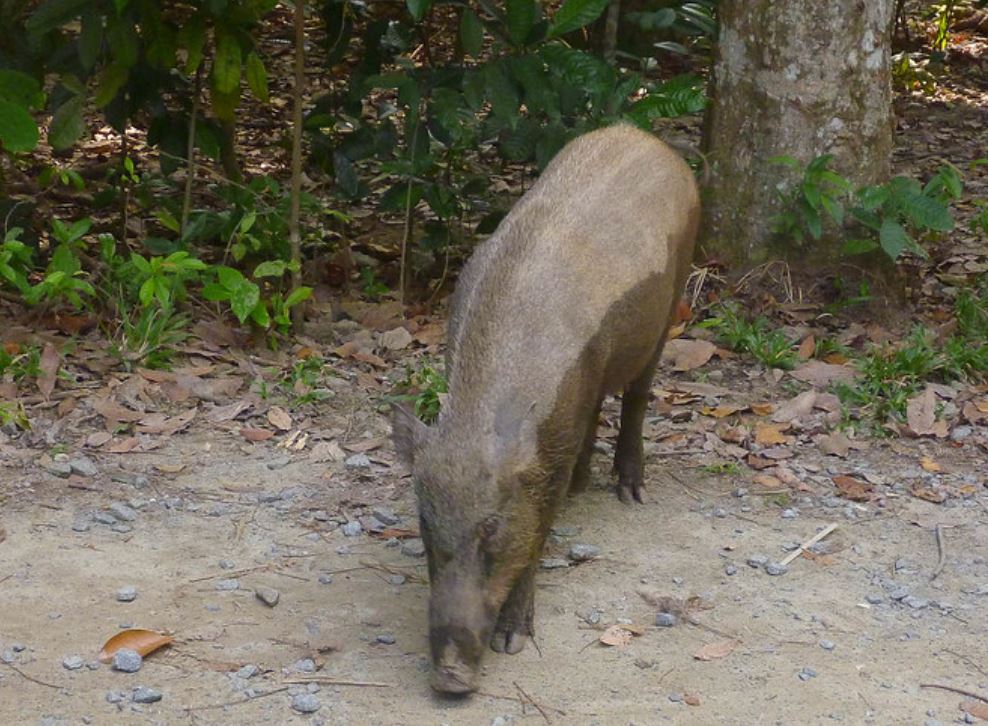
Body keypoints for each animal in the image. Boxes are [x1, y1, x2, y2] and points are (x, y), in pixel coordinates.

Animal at [392, 124, 700, 694]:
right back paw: (585, 485)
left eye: (491, 528)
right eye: (425, 522)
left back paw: (631, 494)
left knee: (638, 395)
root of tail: (643, 135)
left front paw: (512, 644)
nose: (449, 678)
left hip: (674, 292)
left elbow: (536, 539)